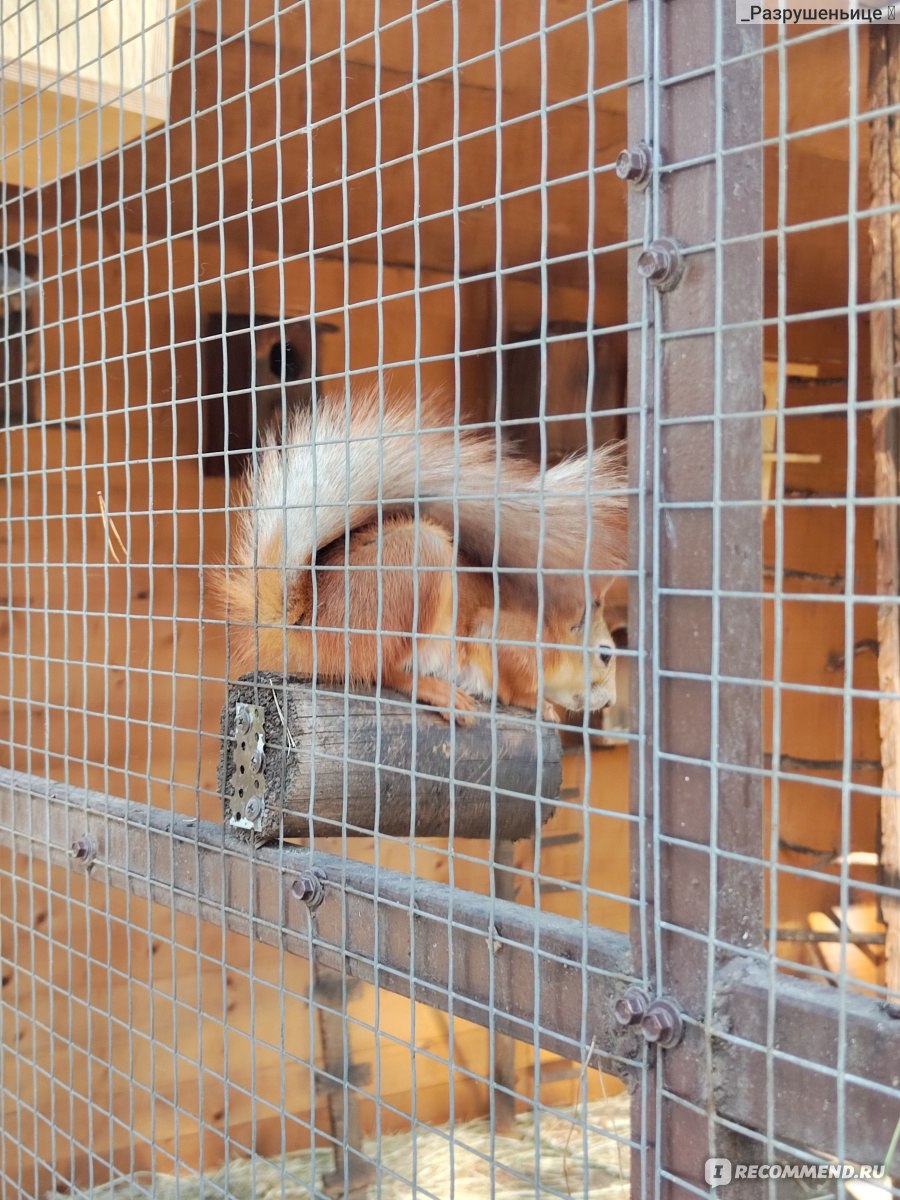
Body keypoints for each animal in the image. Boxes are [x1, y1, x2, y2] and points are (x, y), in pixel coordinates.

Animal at [218, 391, 628, 720]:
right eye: (605, 653)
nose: (610, 703)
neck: (548, 632)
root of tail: (311, 635)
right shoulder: (500, 635)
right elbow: (512, 682)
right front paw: (537, 702)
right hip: (417, 563)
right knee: (378, 668)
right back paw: (436, 690)